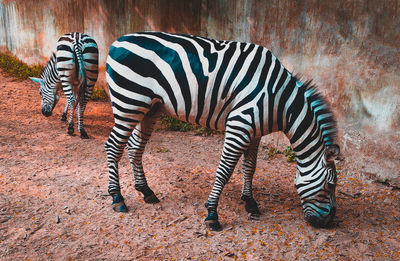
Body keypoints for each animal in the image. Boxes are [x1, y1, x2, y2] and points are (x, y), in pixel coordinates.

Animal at [104, 31, 340, 229]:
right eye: (329, 186)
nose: (329, 222)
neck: (281, 100)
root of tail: (119, 40)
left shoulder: (255, 132)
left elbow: (249, 167)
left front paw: (250, 202)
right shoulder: (240, 124)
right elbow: (225, 170)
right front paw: (212, 213)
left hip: (149, 109)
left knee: (135, 147)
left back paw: (146, 191)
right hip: (129, 102)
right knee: (113, 146)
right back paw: (118, 198)